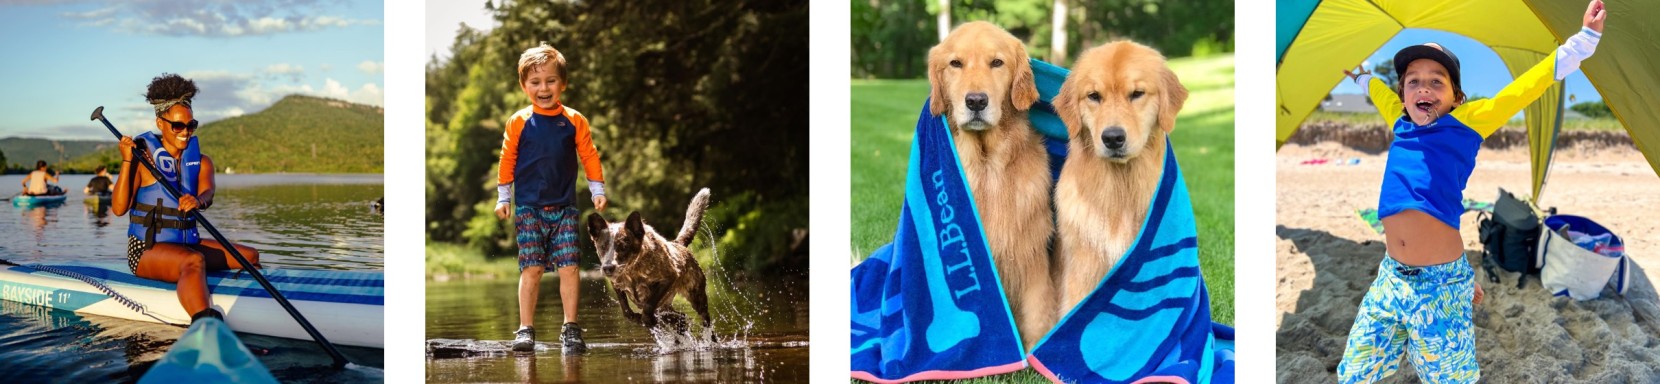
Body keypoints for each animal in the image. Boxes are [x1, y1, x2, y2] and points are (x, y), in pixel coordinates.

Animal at [929, 20, 1055, 350]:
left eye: (997, 63)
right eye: (955, 64)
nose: (976, 101)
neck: (987, 165)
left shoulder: (1032, 256)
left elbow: (1037, 318)